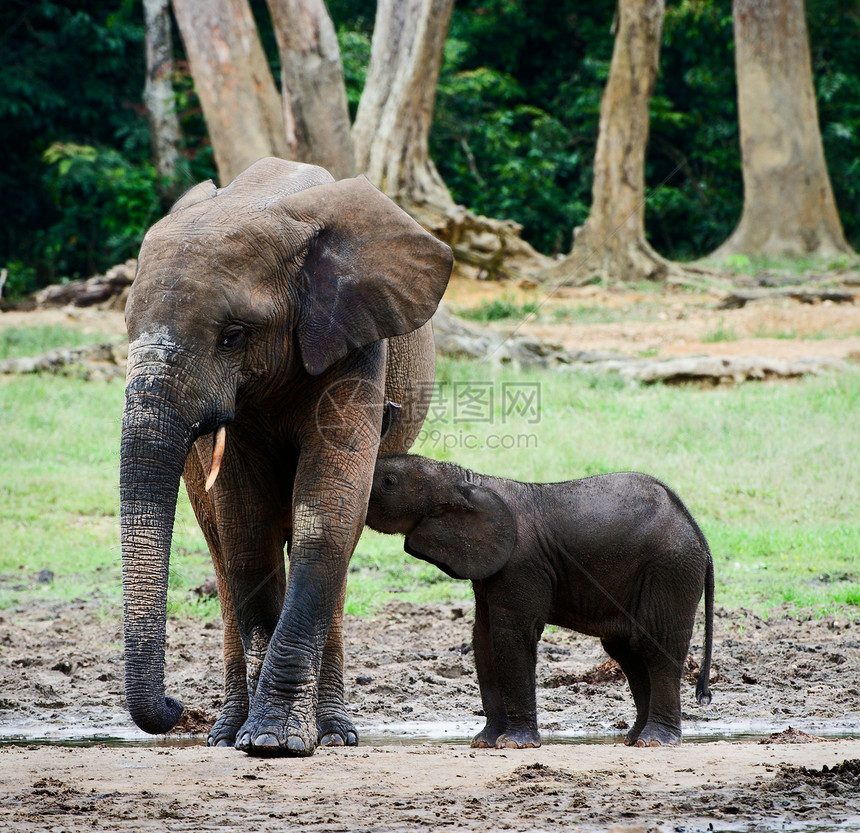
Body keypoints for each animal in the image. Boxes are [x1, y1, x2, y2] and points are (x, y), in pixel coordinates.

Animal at [123, 156, 454, 752]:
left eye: (233, 336)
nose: (174, 707)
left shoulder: (355, 338)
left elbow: (327, 514)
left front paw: (273, 741)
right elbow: (247, 527)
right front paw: (255, 737)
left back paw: (335, 733)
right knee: (223, 550)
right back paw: (226, 731)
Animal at [366, 456, 716, 748]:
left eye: (389, 482)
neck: (468, 480)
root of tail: (698, 532)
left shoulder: (521, 563)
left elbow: (513, 635)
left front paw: (513, 745)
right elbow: (484, 640)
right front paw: (484, 743)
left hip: (670, 568)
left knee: (652, 646)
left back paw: (655, 741)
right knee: (627, 651)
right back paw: (633, 739)